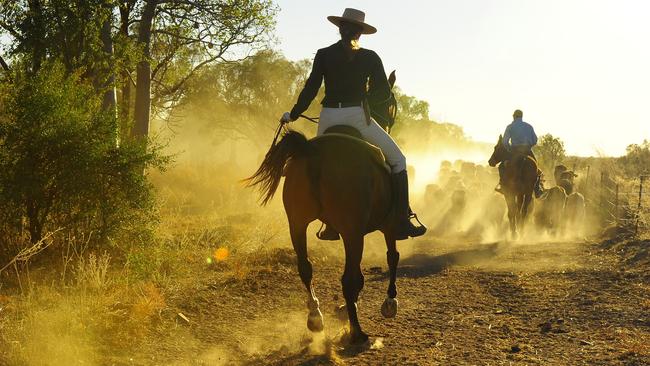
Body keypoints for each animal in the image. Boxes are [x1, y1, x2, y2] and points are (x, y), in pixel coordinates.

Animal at [247, 129, 400, 344]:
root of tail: (312, 151)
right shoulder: (387, 225)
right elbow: (392, 257)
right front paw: (390, 301)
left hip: (297, 224)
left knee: (305, 268)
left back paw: (316, 317)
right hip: (352, 232)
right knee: (349, 280)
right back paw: (357, 332)